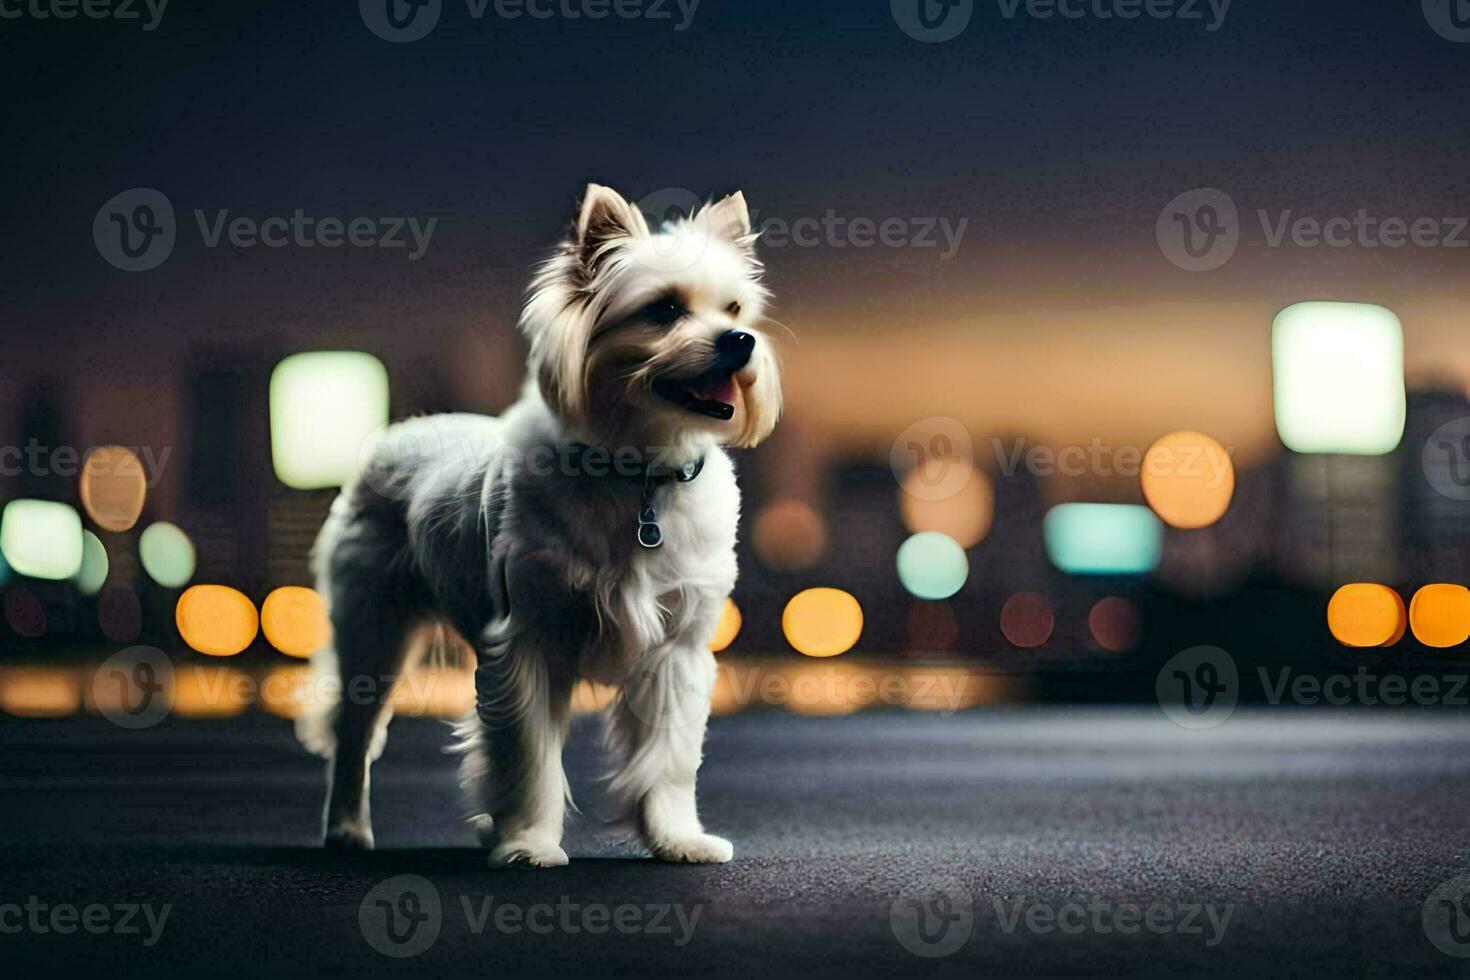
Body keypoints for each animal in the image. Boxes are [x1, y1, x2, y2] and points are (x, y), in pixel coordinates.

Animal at [294, 183, 787, 863]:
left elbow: (667, 762)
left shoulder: (676, 654)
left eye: (735, 308)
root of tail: (398, 434)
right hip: (373, 630)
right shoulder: (525, 644)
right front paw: (528, 842)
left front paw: (677, 840)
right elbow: (527, 756)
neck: (638, 473)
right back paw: (346, 829)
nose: (741, 340)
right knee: (355, 735)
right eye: (663, 310)